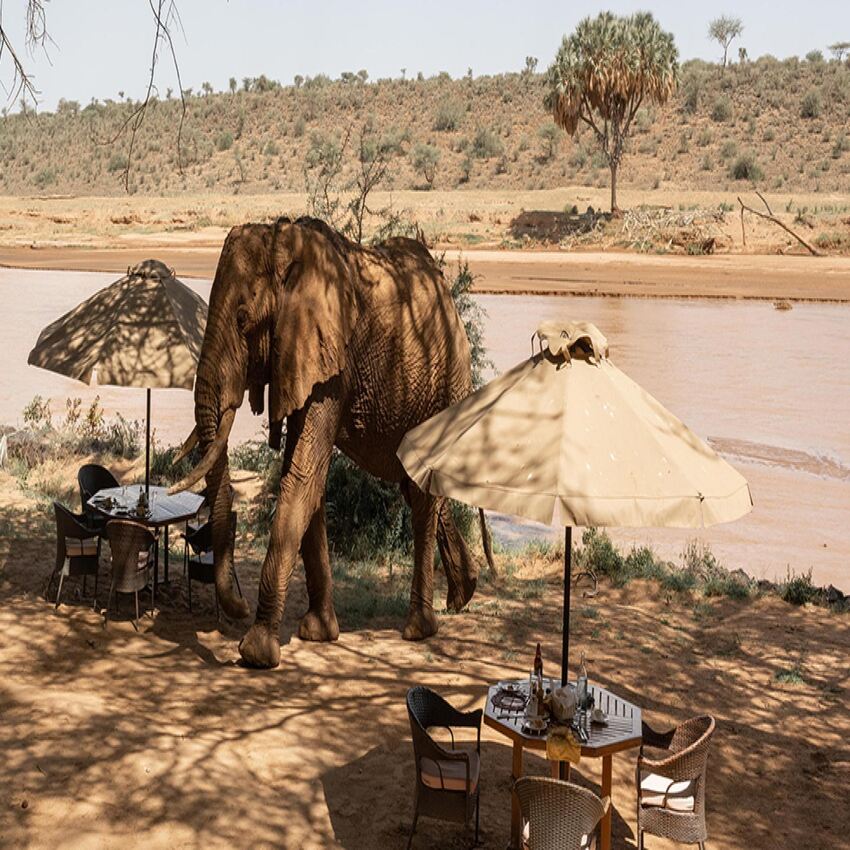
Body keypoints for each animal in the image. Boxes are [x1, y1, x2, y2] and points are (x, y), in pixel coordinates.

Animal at [170, 216, 480, 669]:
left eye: (244, 320)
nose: (238, 607)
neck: (284, 245)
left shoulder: (330, 362)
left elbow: (302, 475)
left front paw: (257, 651)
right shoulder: (301, 360)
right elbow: (306, 477)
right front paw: (318, 633)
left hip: (447, 384)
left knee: (423, 499)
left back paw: (419, 629)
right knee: (417, 489)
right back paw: (463, 594)